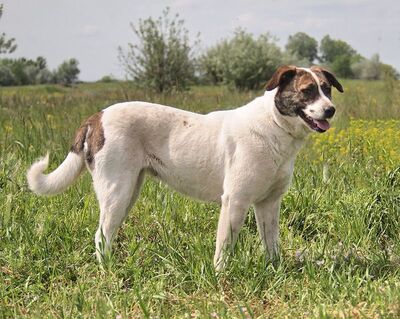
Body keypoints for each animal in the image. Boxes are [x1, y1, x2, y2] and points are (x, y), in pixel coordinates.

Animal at [26, 66, 342, 272]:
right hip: (117, 193)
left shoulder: (268, 204)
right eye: (307, 91)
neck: (274, 125)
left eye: (326, 89)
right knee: (100, 235)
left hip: (127, 195)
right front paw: (220, 278)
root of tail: (96, 116)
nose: (331, 110)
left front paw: (275, 271)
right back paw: (109, 273)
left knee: (106, 234)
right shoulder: (235, 202)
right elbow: (224, 247)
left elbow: (271, 244)